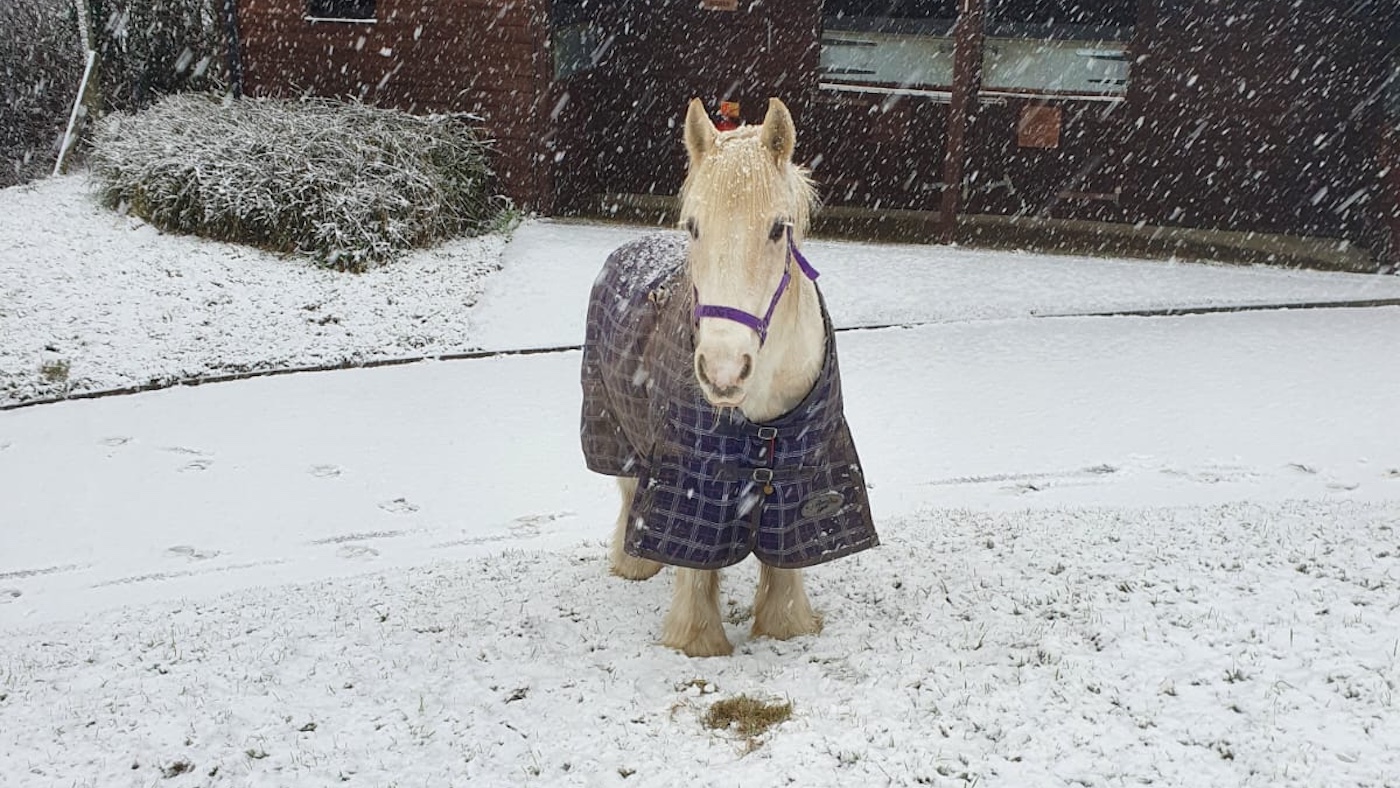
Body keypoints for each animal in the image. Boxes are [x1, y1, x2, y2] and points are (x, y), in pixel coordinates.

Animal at [580, 97, 877, 657]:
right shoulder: (693, 475)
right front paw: (697, 638)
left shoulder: (806, 474)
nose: (722, 371)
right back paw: (633, 563)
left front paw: (786, 624)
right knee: (630, 491)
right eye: (694, 226)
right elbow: (693, 561)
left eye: (778, 228)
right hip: (615, 428)